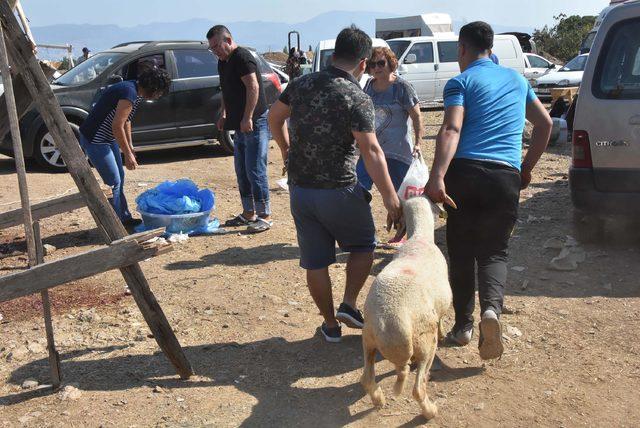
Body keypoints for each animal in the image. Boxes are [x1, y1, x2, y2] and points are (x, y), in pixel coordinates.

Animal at [360, 196, 456, 420]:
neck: (420, 238)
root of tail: (389, 323)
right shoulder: (441, 305)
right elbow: (441, 319)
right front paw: (444, 333)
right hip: (426, 343)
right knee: (418, 389)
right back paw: (430, 411)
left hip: (368, 339)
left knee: (366, 378)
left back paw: (379, 399)